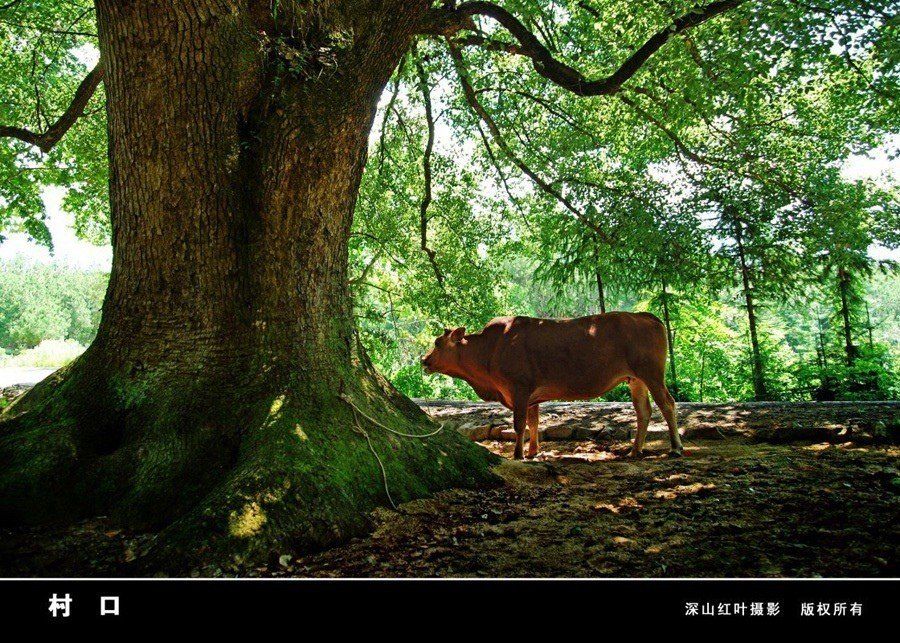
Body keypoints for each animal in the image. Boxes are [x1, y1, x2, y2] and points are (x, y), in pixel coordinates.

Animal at [422, 314, 684, 460]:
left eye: (437, 343)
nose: (424, 360)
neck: (491, 348)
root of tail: (646, 316)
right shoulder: (531, 396)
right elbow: (534, 422)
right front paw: (532, 451)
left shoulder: (519, 388)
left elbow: (519, 424)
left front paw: (518, 454)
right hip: (636, 379)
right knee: (644, 411)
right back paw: (635, 450)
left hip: (651, 374)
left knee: (667, 404)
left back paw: (676, 448)